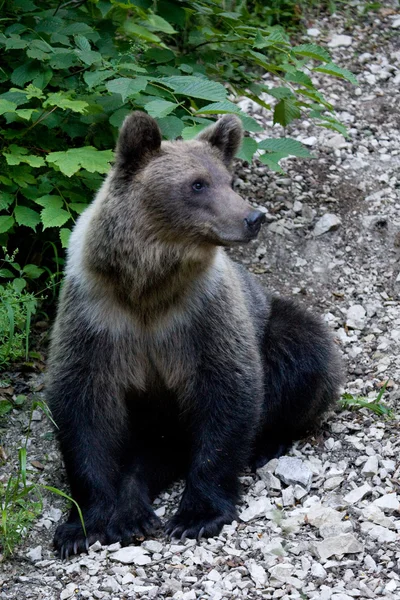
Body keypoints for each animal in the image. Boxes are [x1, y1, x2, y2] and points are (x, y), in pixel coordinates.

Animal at [46, 111, 340, 556]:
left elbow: (227, 392)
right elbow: (82, 407)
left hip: (271, 322)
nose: (253, 217)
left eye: (229, 180)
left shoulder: (200, 315)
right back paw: (132, 512)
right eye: (197, 184)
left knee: (303, 350)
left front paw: (197, 515)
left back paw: (268, 443)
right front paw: (80, 526)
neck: (148, 284)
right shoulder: (98, 316)